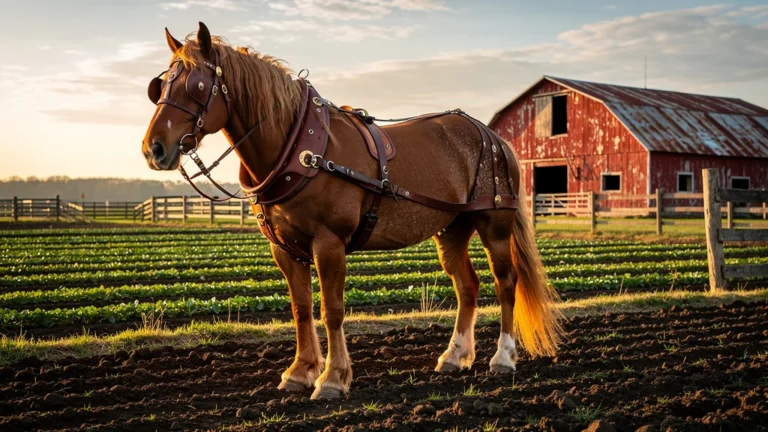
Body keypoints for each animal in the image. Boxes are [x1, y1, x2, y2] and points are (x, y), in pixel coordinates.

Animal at [141, 22, 564, 400]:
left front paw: (332, 379)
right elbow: (301, 309)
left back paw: (503, 358)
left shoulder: (329, 244)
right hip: (452, 229)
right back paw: (454, 356)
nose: (153, 148)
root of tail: (492, 135)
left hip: (494, 225)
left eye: (196, 86)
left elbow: (332, 310)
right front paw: (300, 372)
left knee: (505, 282)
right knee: (467, 286)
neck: (299, 149)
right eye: (161, 86)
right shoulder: (285, 249)